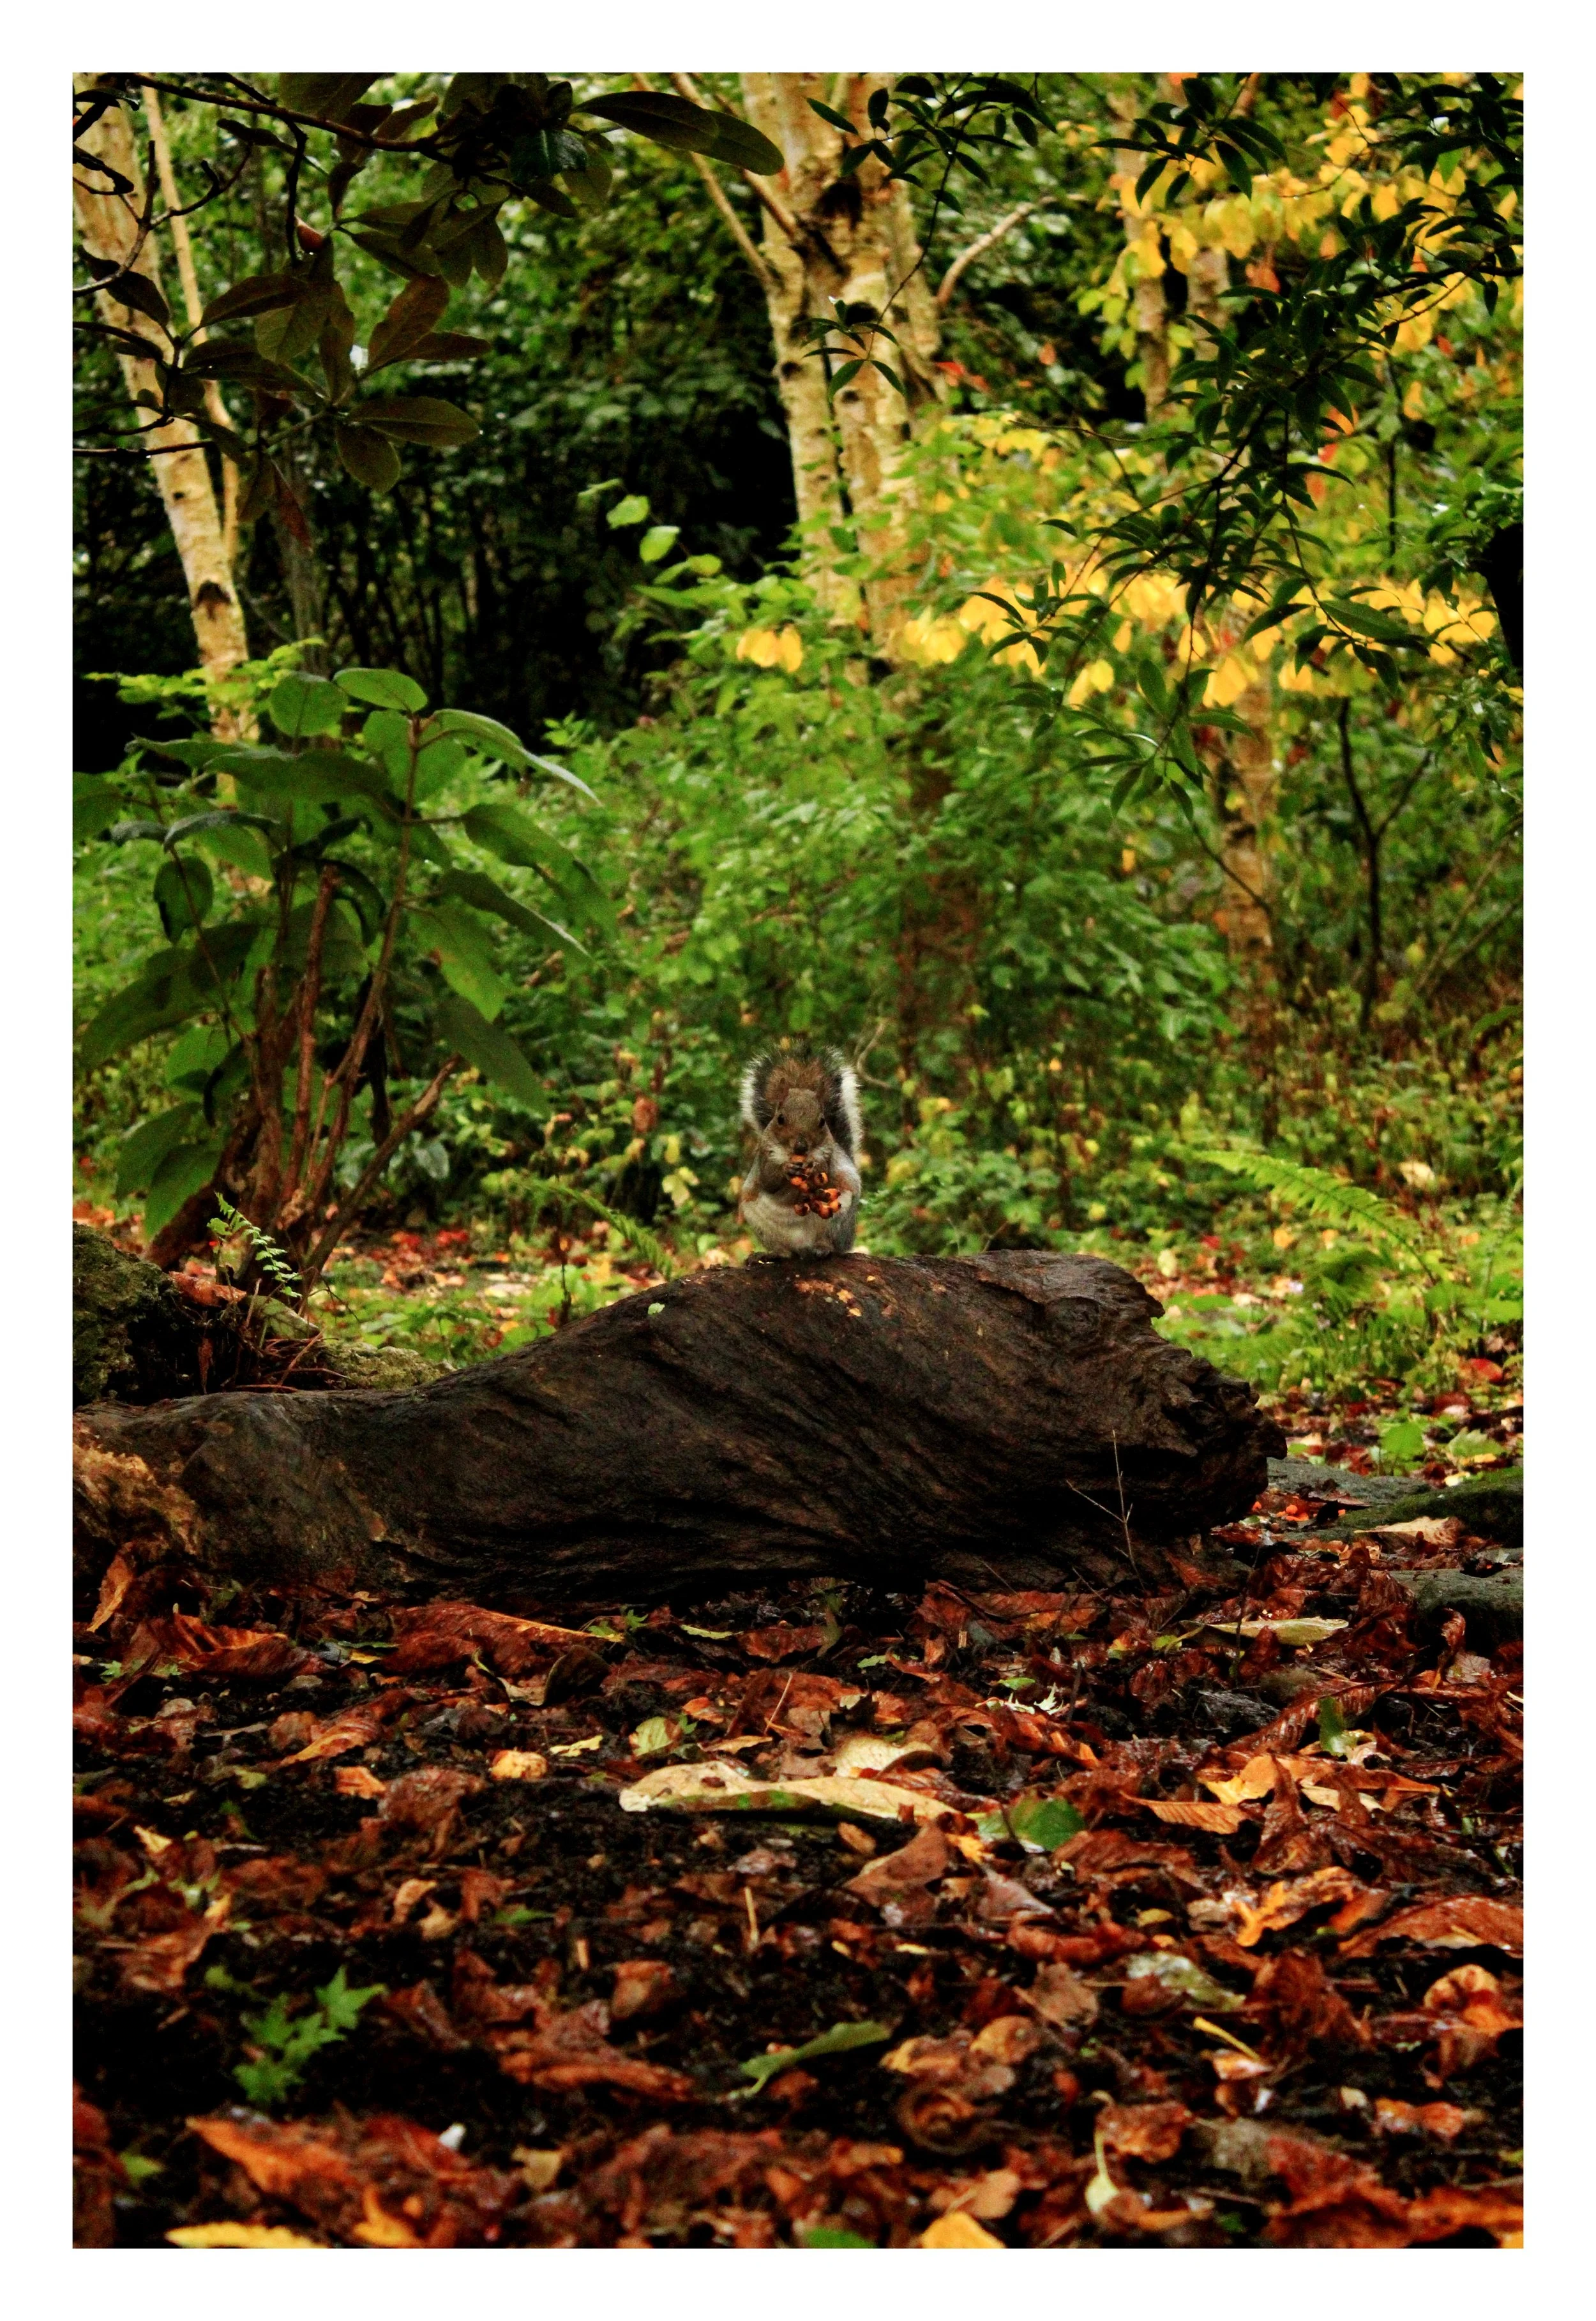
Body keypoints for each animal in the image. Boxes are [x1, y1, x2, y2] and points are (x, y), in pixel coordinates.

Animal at [737, 1047, 863, 1257]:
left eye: (822, 1121)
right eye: (780, 1119)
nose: (801, 1146)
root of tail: (802, 1245)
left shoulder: (828, 1155)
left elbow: (825, 1173)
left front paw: (813, 1169)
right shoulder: (765, 1155)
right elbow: (769, 1181)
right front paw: (786, 1170)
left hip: (838, 1220)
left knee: (831, 1241)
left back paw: (823, 1248)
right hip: (761, 1224)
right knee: (783, 1249)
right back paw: (777, 1253)